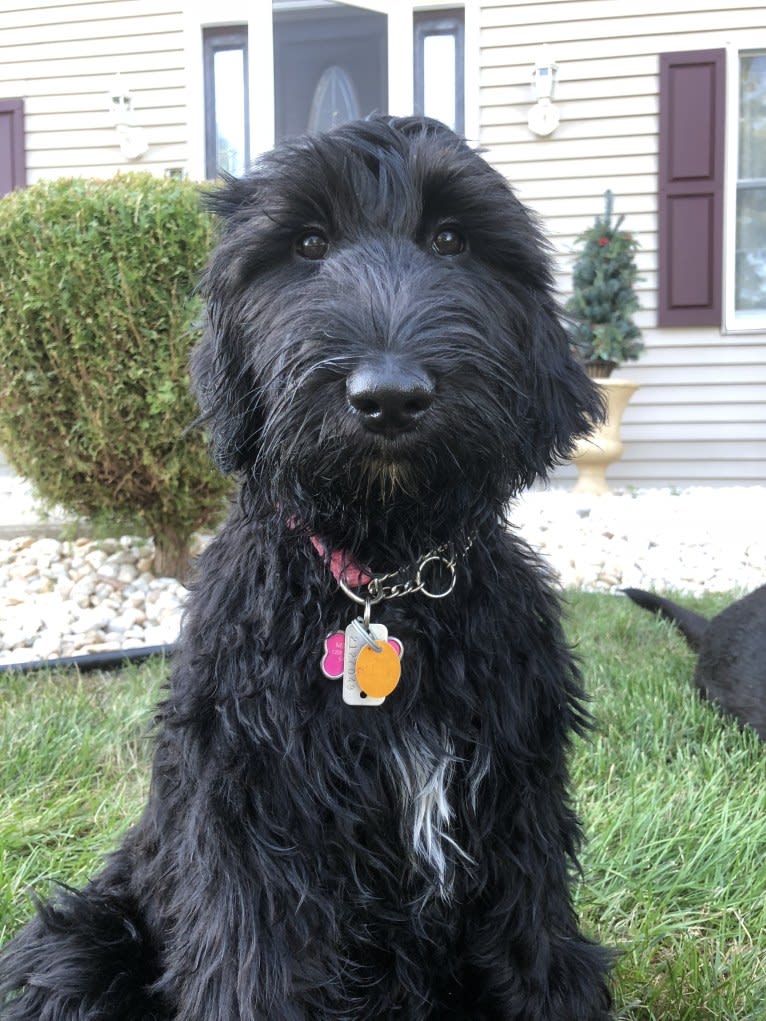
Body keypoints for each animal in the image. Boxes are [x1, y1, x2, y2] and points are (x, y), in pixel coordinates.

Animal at [1, 115, 612, 1016]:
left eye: (452, 238)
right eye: (308, 243)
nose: (389, 396)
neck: (382, 582)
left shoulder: (515, 817)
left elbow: (537, 962)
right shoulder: (253, 828)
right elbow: (251, 978)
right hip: (73, 943)